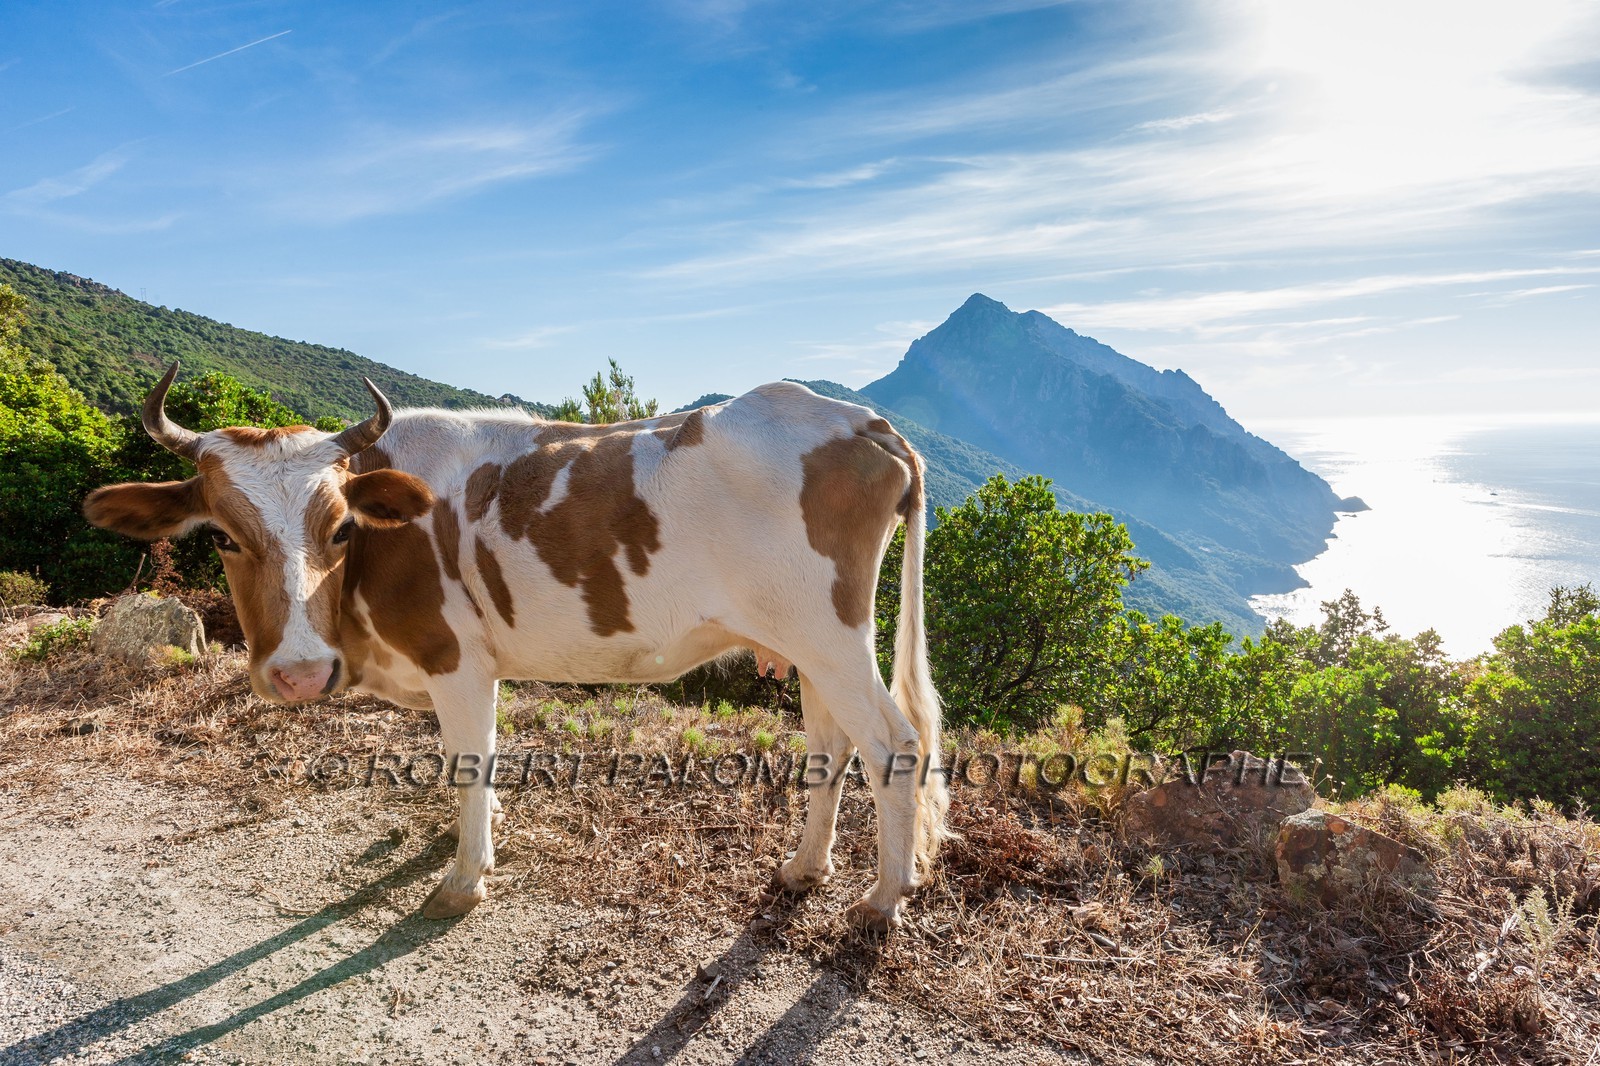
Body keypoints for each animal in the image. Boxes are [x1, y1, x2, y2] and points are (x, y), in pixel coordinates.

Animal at [85, 363, 949, 930]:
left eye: (339, 530)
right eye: (224, 537)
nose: (299, 673)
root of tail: (858, 419)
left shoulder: (455, 657)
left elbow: (468, 763)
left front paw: (465, 878)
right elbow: (473, 762)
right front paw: (481, 835)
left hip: (829, 634)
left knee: (895, 744)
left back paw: (881, 899)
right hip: (808, 643)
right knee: (833, 744)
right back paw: (806, 867)